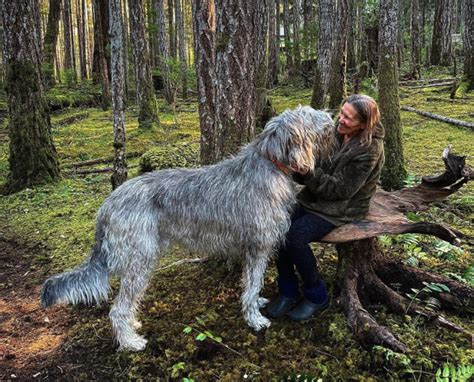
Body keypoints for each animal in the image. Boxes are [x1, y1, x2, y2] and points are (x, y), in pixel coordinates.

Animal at [41, 106, 336, 350]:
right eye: (308, 114)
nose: (331, 116)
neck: (270, 163)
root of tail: (107, 205)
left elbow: (254, 283)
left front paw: (259, 304)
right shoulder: (258, 247)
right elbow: (252, 285)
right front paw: (254, 319)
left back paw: (132, 326)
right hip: (140, 260)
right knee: (118, 308)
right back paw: (130, 341)